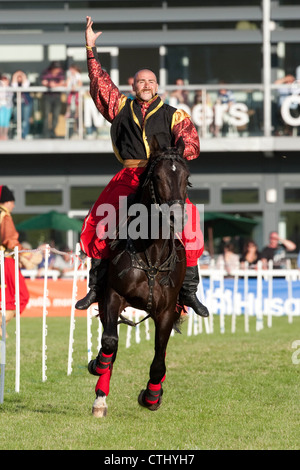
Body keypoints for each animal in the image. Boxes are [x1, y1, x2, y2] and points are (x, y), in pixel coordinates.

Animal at [88, 138, 190, 416]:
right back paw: (100, 397)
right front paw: (97, 365)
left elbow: (159, 360)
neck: (151, 254)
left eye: (186, 177)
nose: (177, 217)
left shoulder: (166, 312)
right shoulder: (113, 296)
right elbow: (109, 343)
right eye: (157, 176)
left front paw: (152, 396)